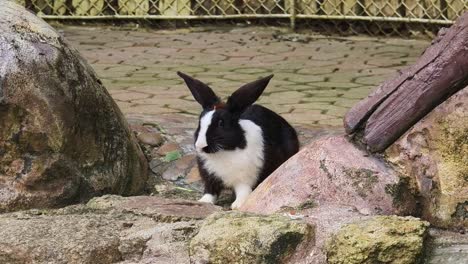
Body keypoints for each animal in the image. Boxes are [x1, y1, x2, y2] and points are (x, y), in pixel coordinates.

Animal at [177, 71, 298, 209]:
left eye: (221, 123)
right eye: (199, 122)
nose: (200, 145)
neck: (225, 151)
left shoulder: (245, 180)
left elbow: (243, 192)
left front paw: (237, 205)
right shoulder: (210, 178)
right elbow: (210, 192)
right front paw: (203, 201)